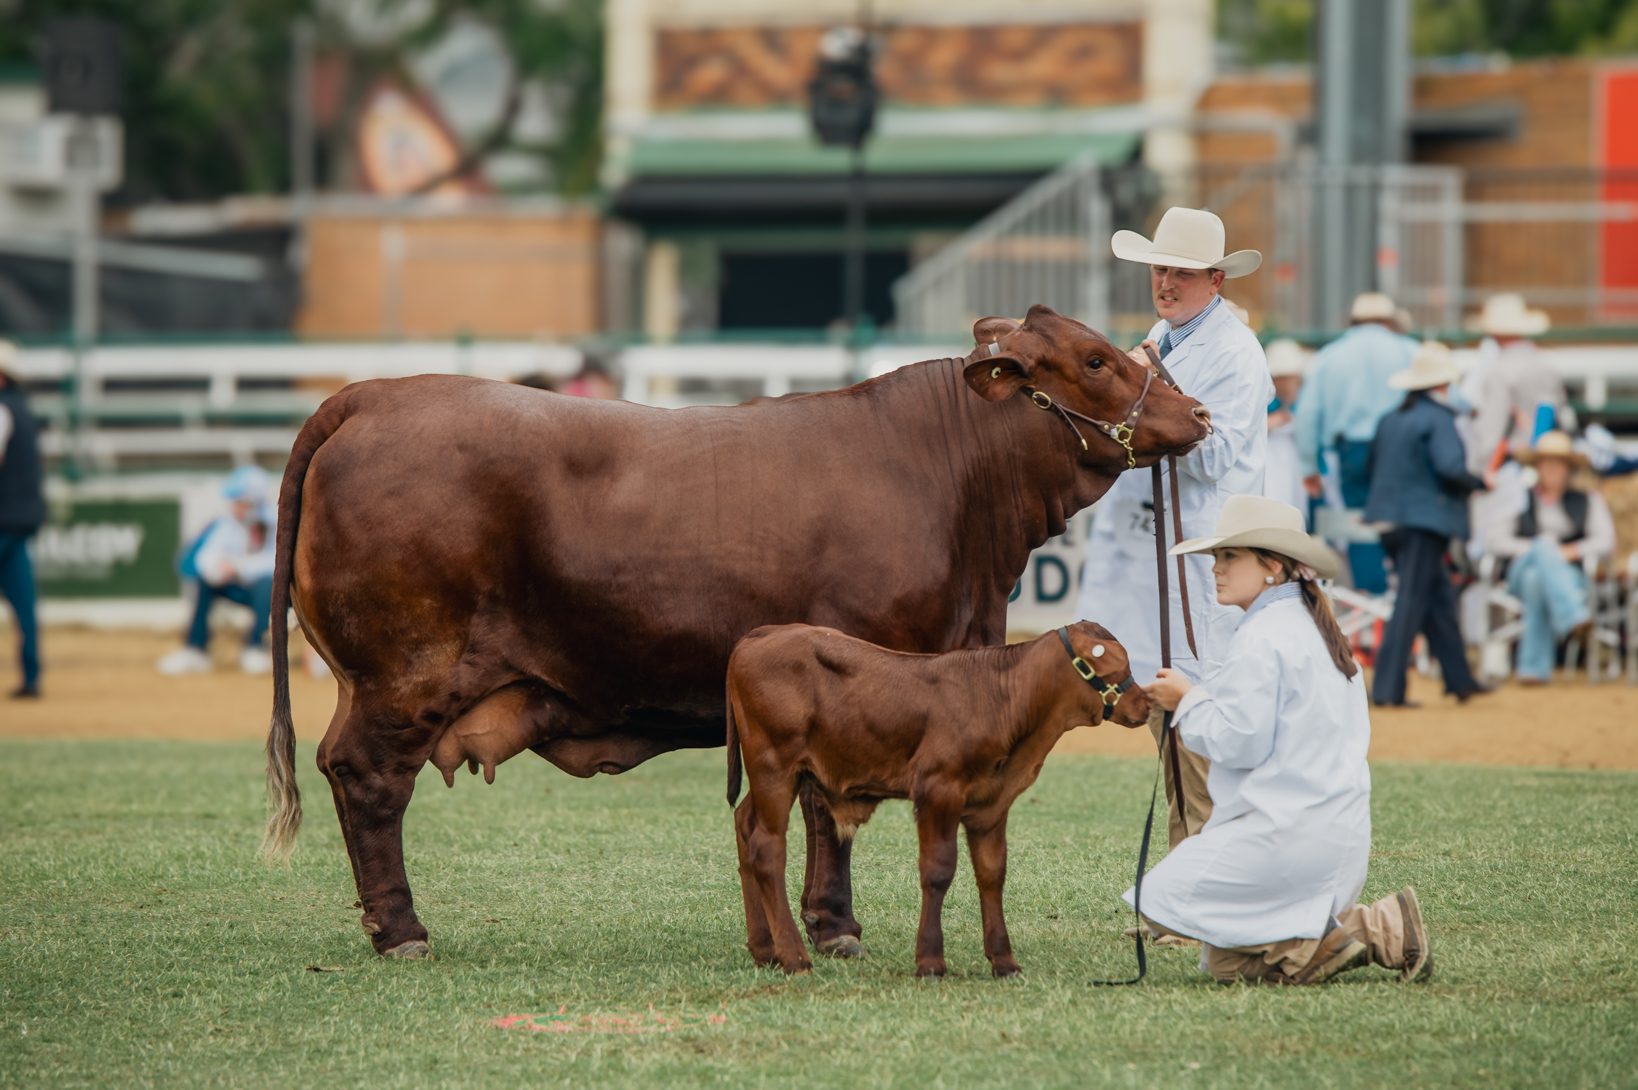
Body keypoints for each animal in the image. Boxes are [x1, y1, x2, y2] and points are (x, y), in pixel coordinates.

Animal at [730, 619, 1153, 976]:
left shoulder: (991, 804)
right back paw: (794, 957)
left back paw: (764, 950)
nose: (1146, 704)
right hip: (774, 766)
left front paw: (1004, 960)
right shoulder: (939, 789)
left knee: (745, 826)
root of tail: (761, 634)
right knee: (767, 848)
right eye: (1106, 660)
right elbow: (938, 870)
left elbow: (992, 873)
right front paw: (931, 960)